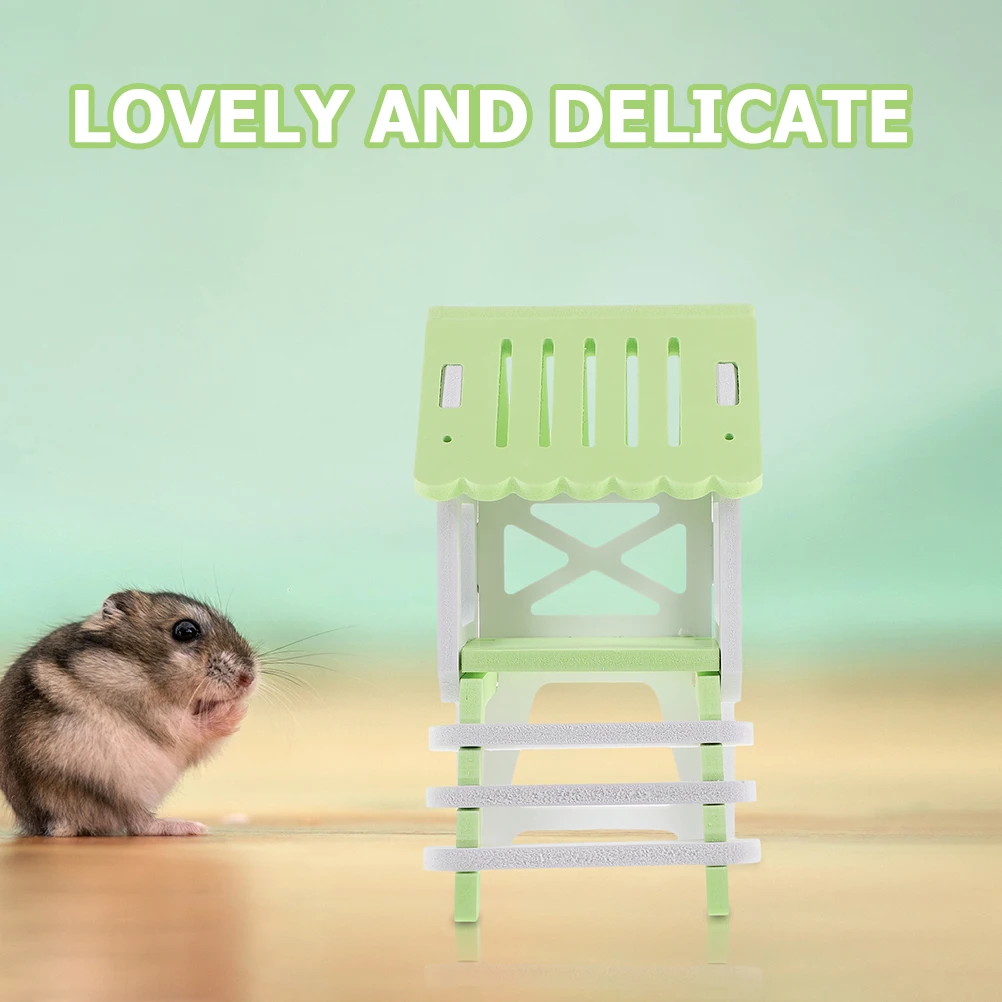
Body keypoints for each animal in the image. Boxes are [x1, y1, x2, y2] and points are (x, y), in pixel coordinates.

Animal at [0, 590, 258, 837]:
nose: (249, 679)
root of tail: (53, 821)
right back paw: (190, 827)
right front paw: (234, 711)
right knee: (138, 823)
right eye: (186, 631)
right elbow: (186, 726)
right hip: (114, 779)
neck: (142, 668)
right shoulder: (153, 711)